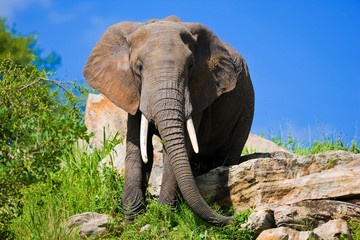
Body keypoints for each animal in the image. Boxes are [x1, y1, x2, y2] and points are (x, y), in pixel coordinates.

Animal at [83, 15, 255, 225]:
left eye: (190, 66)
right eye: (138, 68)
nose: (233, 218)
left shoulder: (198, 91)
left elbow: (182, 147)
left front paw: (162, 215)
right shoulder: (133, 91)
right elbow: (138, 147)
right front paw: (134, 219)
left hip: (246, 106)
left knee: (227, 154)